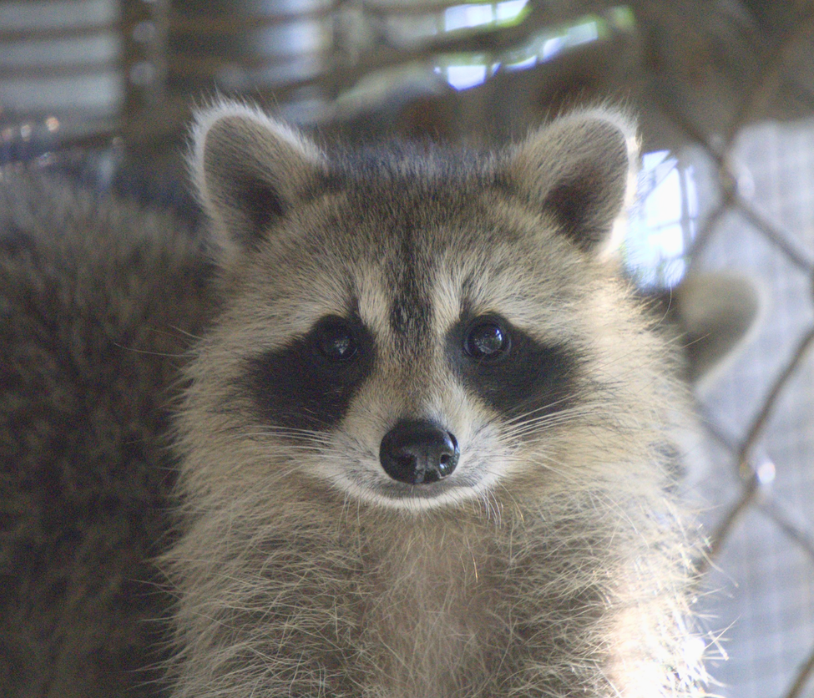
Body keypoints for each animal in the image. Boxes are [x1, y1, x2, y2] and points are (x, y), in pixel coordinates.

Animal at [0, 102, 705, 698]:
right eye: (338, 343)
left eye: (489, 338)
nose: (420, 450)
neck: (425, 526)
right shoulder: (262, 614)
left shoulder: (587, 594)